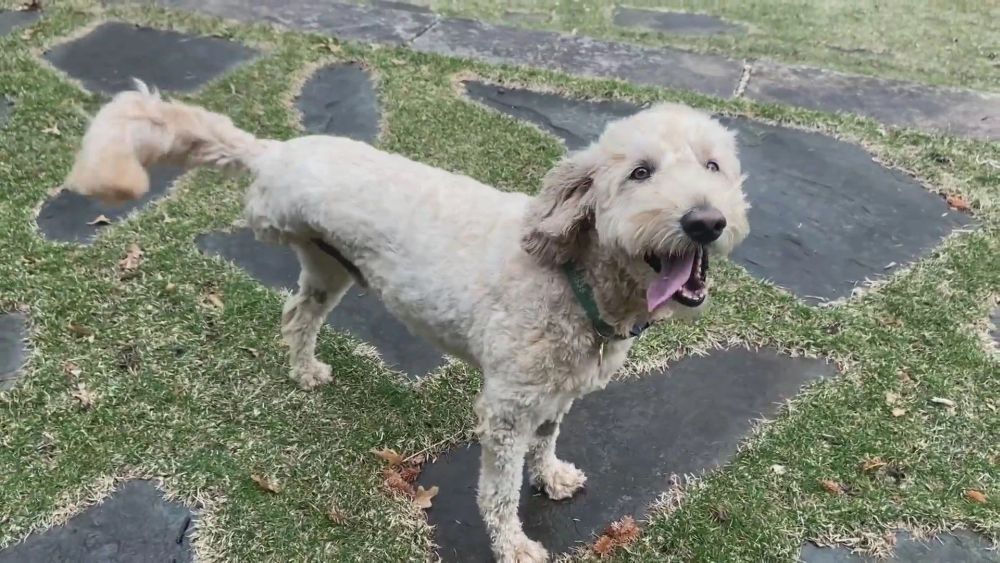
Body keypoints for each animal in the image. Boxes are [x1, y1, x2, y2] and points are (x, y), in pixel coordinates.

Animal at [64, 83, 752, 563]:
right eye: (639, 173)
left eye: (713, 166)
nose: (704, 222)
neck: (573, 276)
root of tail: (278, 151)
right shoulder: (506, 409)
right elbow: (499, 489)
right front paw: (513, 544)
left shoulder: (555, 390)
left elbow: (549, 439)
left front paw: (552, 474)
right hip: (287, 229)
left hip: (329, 268)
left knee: (297, 312)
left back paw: (304, 369)